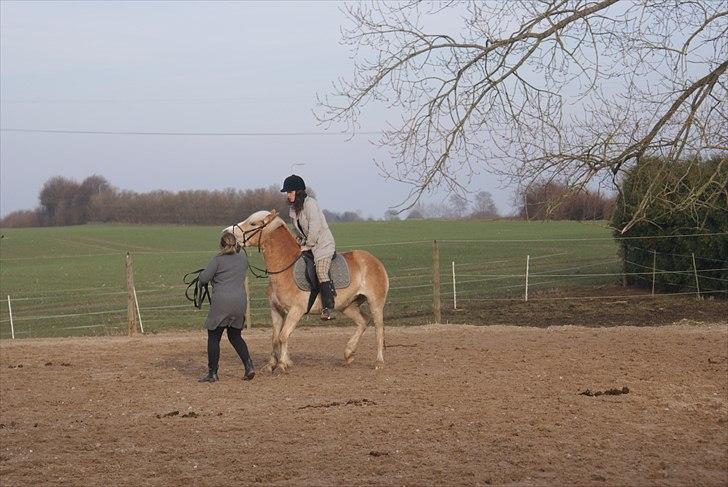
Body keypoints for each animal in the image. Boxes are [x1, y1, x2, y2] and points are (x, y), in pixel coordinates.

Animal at [228, 210, 390, 374]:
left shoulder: (295, 311)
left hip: (375, 303)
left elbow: (283, 336)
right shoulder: (276, 310)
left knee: (379, 329)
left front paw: (283, 364)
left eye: (253, 223)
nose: (228, 233)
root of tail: (374, 261)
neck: (285, 267)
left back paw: (379, 362)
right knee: (363, 321)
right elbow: (275, 337)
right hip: (347, 306)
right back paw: (349, 353)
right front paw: (271, 364)